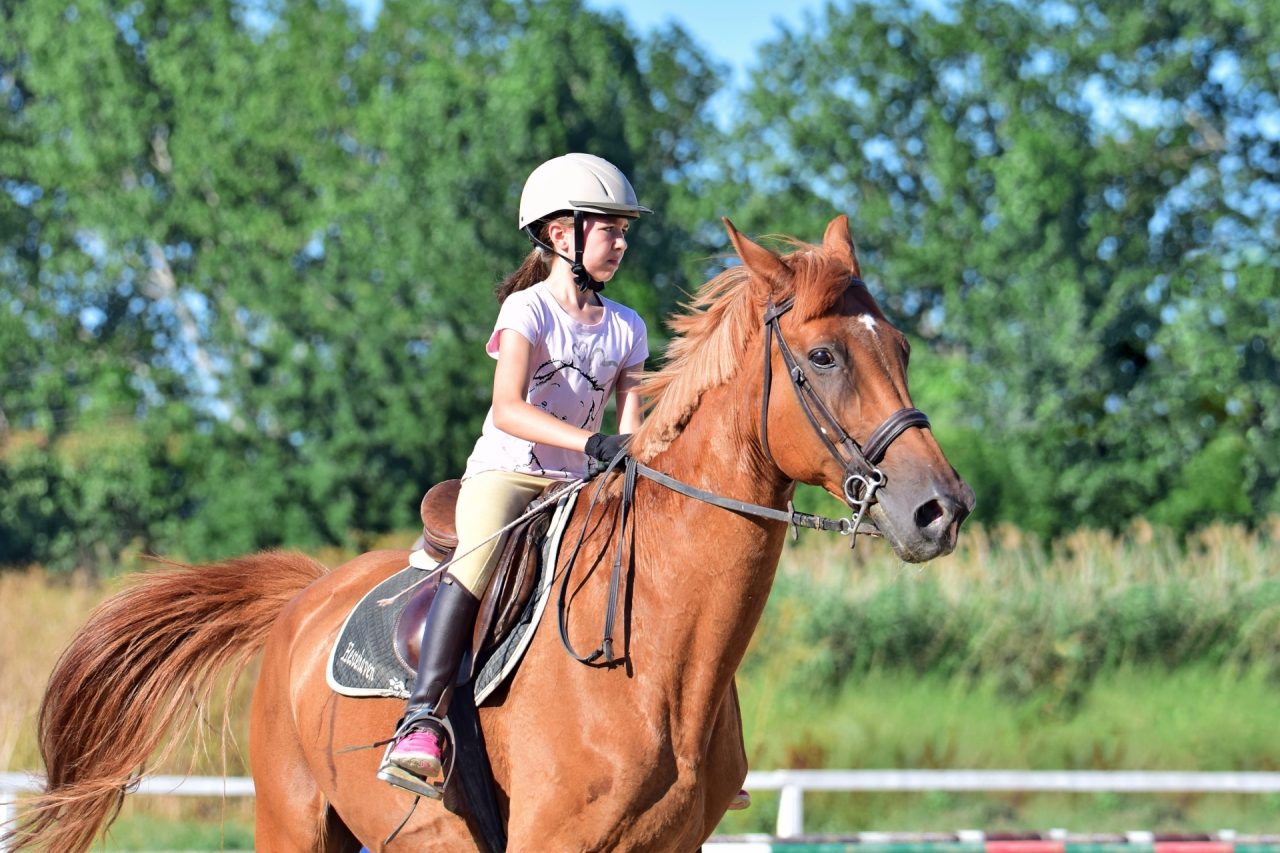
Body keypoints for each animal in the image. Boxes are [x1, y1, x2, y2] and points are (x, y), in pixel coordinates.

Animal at [7, 217, 967, 850]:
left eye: (901, 349)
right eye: (824, 358)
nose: (941, 509)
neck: (661, 659)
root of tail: (305, 595)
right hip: (293, 819)